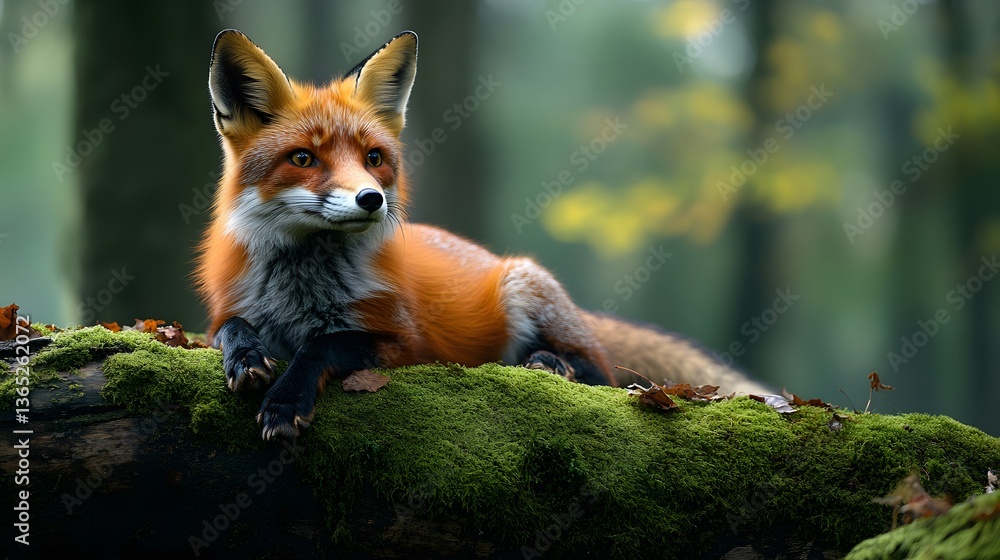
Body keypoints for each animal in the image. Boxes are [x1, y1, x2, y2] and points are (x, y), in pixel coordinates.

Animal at [196, 29, 769, 440]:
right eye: (303, 159)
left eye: (373, 158)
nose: (371, 199)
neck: (301, 291)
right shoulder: (224, 318)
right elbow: (232, 330)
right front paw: (246, 357)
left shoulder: (405, 343)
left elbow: (323, 345)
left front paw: (286, 400)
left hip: (525, 287)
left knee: (602, 371)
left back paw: (552, 364)